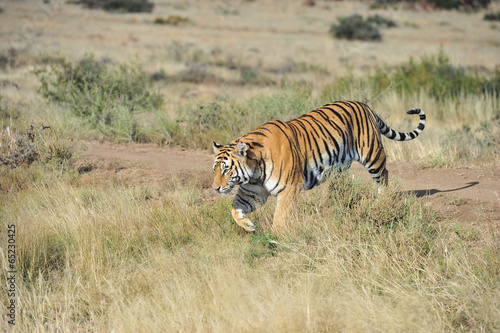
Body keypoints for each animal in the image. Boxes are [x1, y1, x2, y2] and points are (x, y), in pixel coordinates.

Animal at [211, 100, 426, 232]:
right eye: (214, 170)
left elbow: (280, 217)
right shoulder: (253, 192)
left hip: (372, 154)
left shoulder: (289, 188)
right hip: (340, 165)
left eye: (226, 169)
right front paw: (248, 225)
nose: (215, 188)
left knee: (384, 176)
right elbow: (235, 208)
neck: (255, 171)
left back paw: (382, 201)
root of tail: (364, 105)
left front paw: (276, 237)